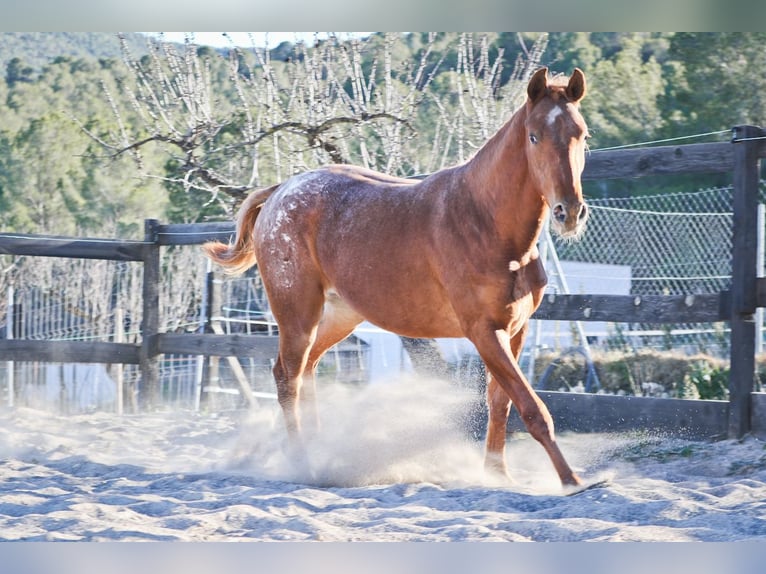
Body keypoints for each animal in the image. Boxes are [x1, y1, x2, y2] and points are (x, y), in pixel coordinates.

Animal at [202, 68, 588, 490]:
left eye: (582, 134)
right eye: (534, 136)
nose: (570, 212)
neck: (485, 221)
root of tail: (279, 192)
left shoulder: (516, 329)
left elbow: (502, 401)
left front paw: (498, 475)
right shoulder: (484, 330)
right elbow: (532, 408)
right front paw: (572, 480)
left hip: (341, 315)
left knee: (307, 369)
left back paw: (320, 452)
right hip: (297, 312)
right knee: (287, 376)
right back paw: (304, 462)